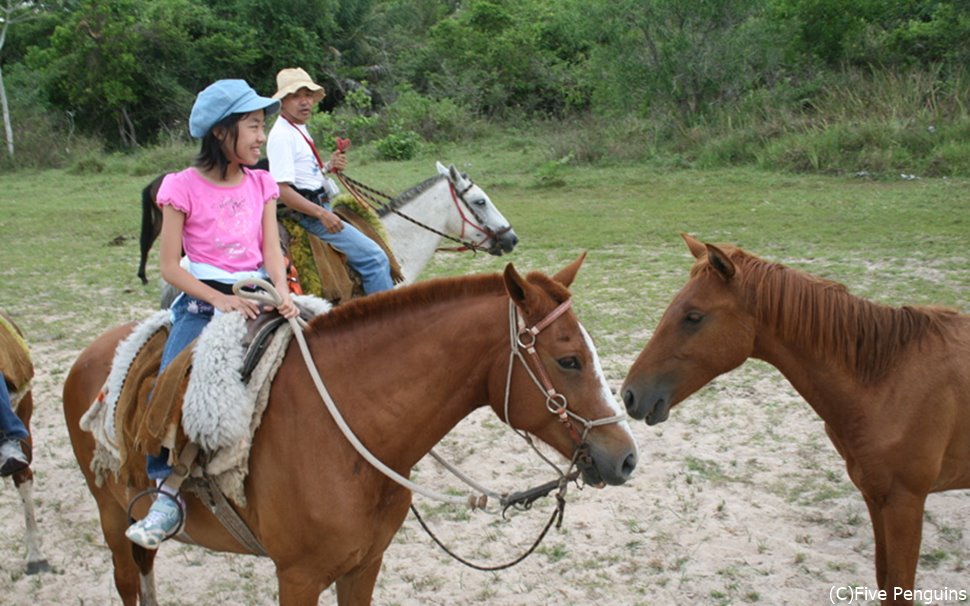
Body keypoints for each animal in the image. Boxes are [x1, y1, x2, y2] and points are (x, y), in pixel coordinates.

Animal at [62, 258, 636, 606]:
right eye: (569, 360)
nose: (626, 457)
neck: (346, 435)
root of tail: (94, 353)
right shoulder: (297, 577)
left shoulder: (363, 566)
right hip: (112, 516)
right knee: (128, 580)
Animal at [620, 234, 968, 606]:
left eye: (694, 316)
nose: (629, 395)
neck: (887, 382)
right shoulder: (875, 497)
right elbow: (885, 580)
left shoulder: (906, 502)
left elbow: (900, 587)